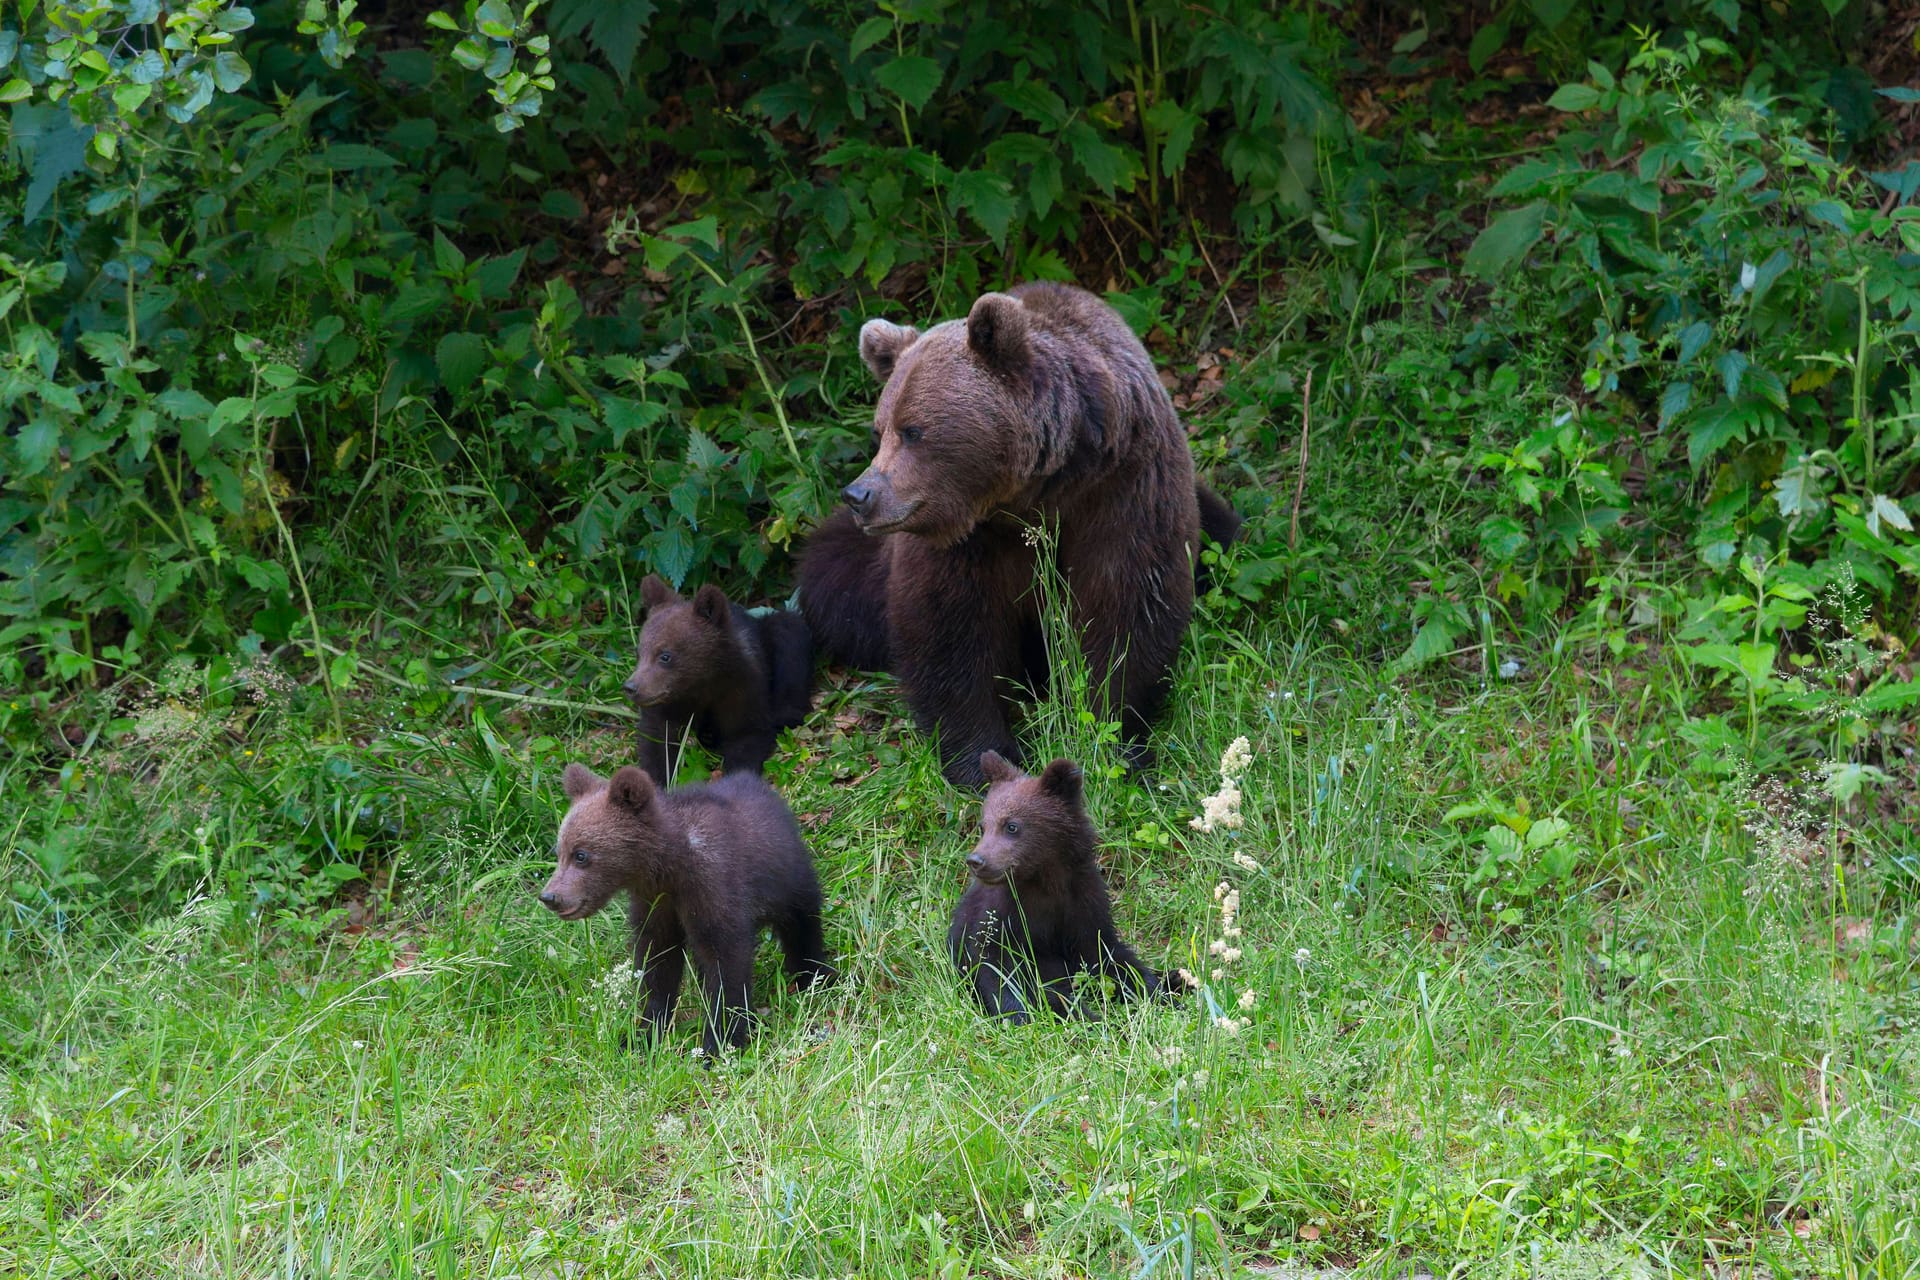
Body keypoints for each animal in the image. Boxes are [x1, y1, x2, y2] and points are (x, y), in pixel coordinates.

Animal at [545, 767, 837, 1059]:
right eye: (559, 852)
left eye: (581, 855)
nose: (550, 897)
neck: (671, 869)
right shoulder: (656, 904)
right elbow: (657, 965)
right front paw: (643, 1035)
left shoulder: (713, 889)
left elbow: (726, 964)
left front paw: (718, 1044)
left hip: (788, 878)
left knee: (802, 924)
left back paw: (814, 976)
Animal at [625, 575, 814, 786]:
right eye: (639, 652)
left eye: (665, 656)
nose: (631, 687)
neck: (701, 683)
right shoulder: (667, 703)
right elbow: (657, 742)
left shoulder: (741, 690)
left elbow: (747, 735)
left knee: (788, 631)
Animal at [798, 282, 1236, 786]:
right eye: (878, 431)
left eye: (913, 430)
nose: (860, 495)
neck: (1035, 490)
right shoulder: (964, 539)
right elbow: (949, 634)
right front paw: (983, 758)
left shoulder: (1125, 489)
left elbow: (1128, 608)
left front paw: (1114, 739)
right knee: (831, 578)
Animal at [948, 752, 1182, 1020]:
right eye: (983, 826)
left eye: (1011, 826)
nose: (977, 861)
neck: (1045, 881)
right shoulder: (1000, 918)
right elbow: (998, 972)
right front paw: (1023, 1014)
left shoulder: (1083, 905)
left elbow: (1111, 956)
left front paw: (1161, 996)